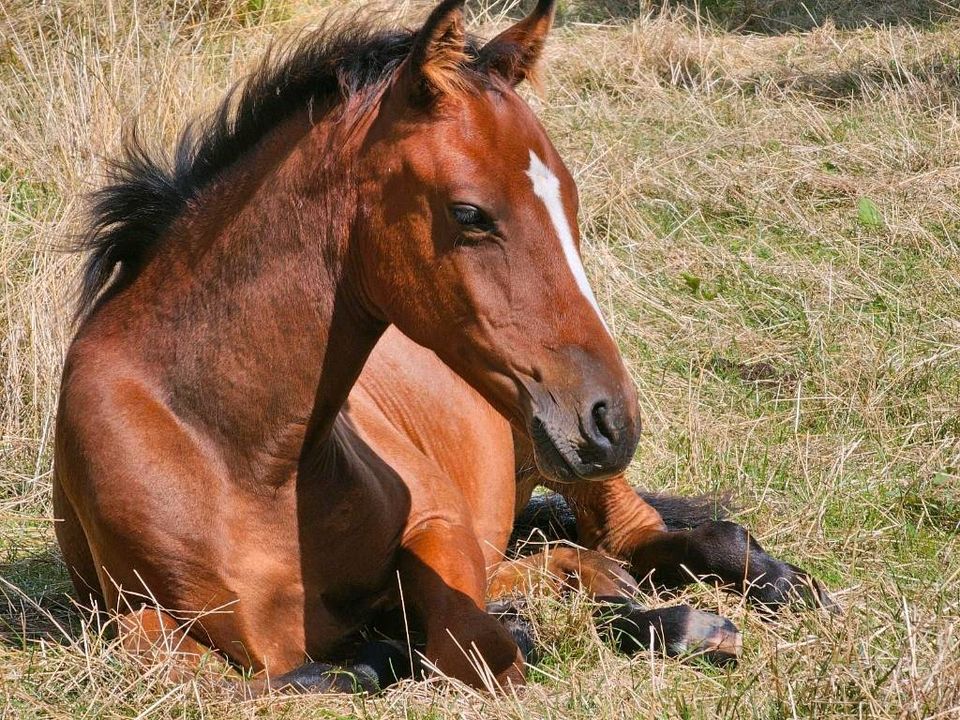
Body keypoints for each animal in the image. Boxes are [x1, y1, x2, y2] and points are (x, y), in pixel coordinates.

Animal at [54, 0, 832, 696]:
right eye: (469, 213)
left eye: (569, 199)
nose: (611, 419)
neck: (234, 452)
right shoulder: (137, 623)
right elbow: (311, 672)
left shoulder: (438, 522)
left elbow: (475, 641)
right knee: (575, 558)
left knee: (647, 535)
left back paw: (770, 586)